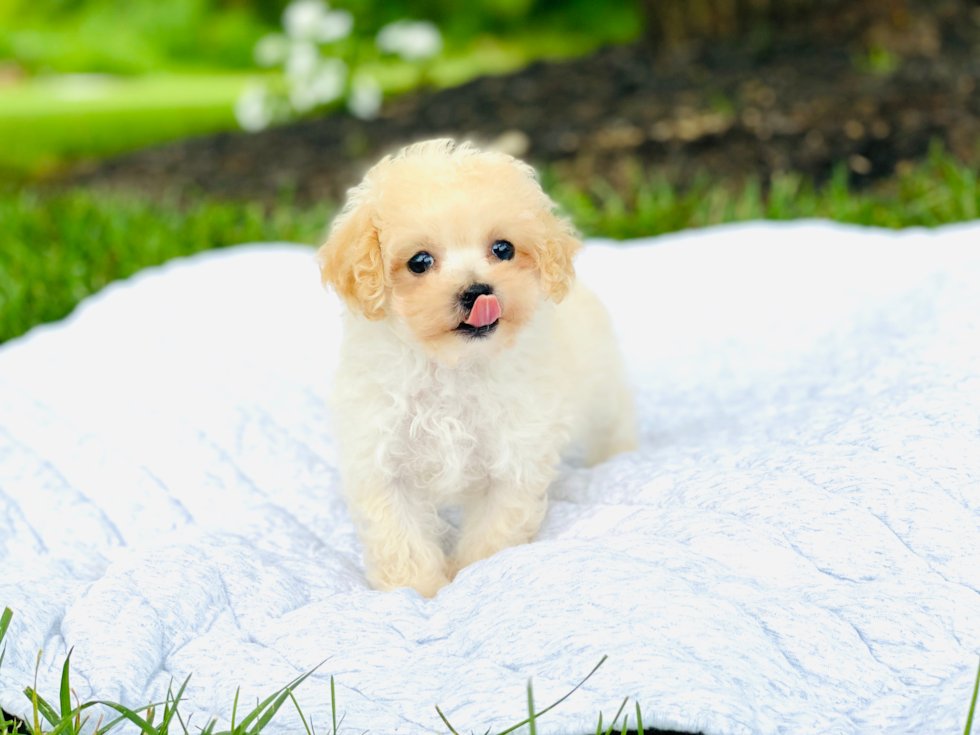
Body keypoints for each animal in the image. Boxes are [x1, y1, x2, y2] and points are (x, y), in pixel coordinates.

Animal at [318, 138, 640, 600]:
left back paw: (618, 455)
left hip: (603, 381)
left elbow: (494, 529)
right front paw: (419, 590)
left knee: (614, 420)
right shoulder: (379, 456)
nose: (477, 291)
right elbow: (400, 537)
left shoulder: (516, 454)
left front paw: (475, 575)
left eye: (503, 249)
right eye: (419, 261)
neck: (452, 367)